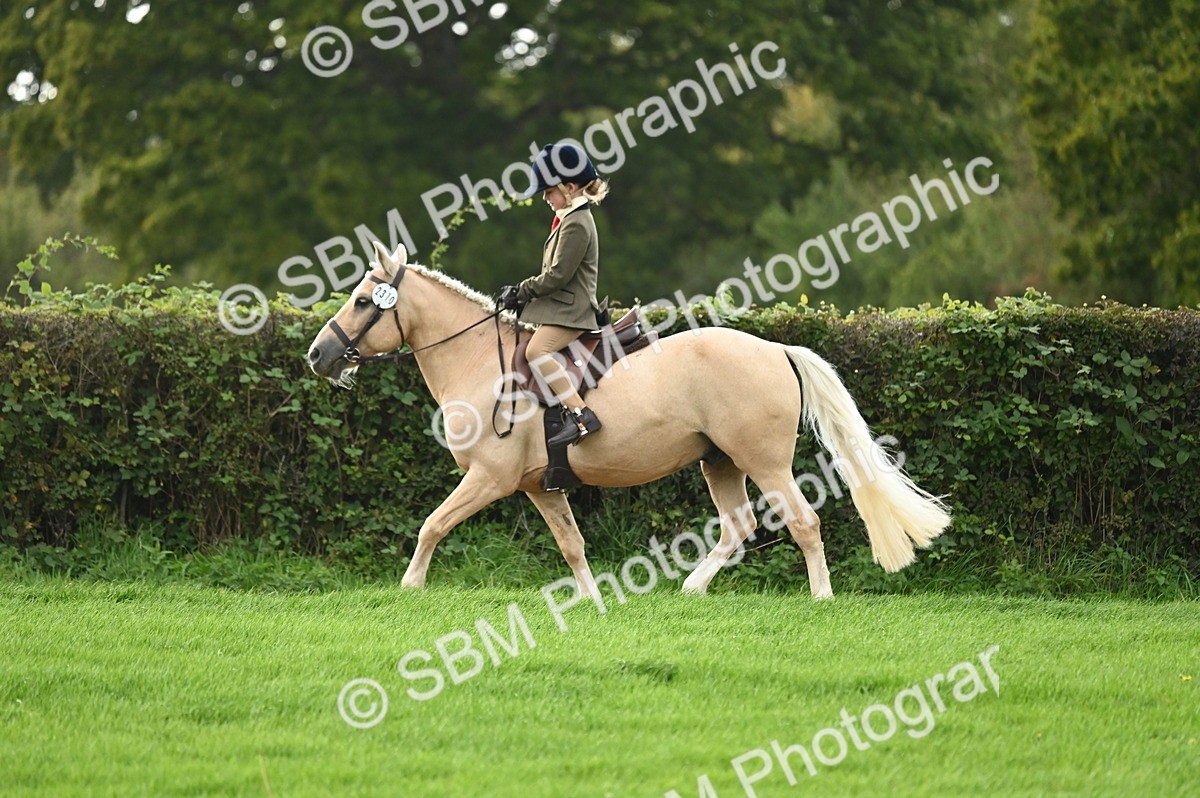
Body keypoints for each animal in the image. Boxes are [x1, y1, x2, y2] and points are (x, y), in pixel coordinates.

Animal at [307, 242, 951, 599]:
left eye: (363, 301)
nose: (317, 354)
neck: (479, 360)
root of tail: (773, 348)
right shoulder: (540, 488)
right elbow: (572, 546)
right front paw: (591, 602)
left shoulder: (488, 479)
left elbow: (432, 526)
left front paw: (409, 587)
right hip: (719, 462)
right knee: (738, 526)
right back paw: (691, 590)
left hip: (765, 462)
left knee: (804, 522)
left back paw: (821, 599)